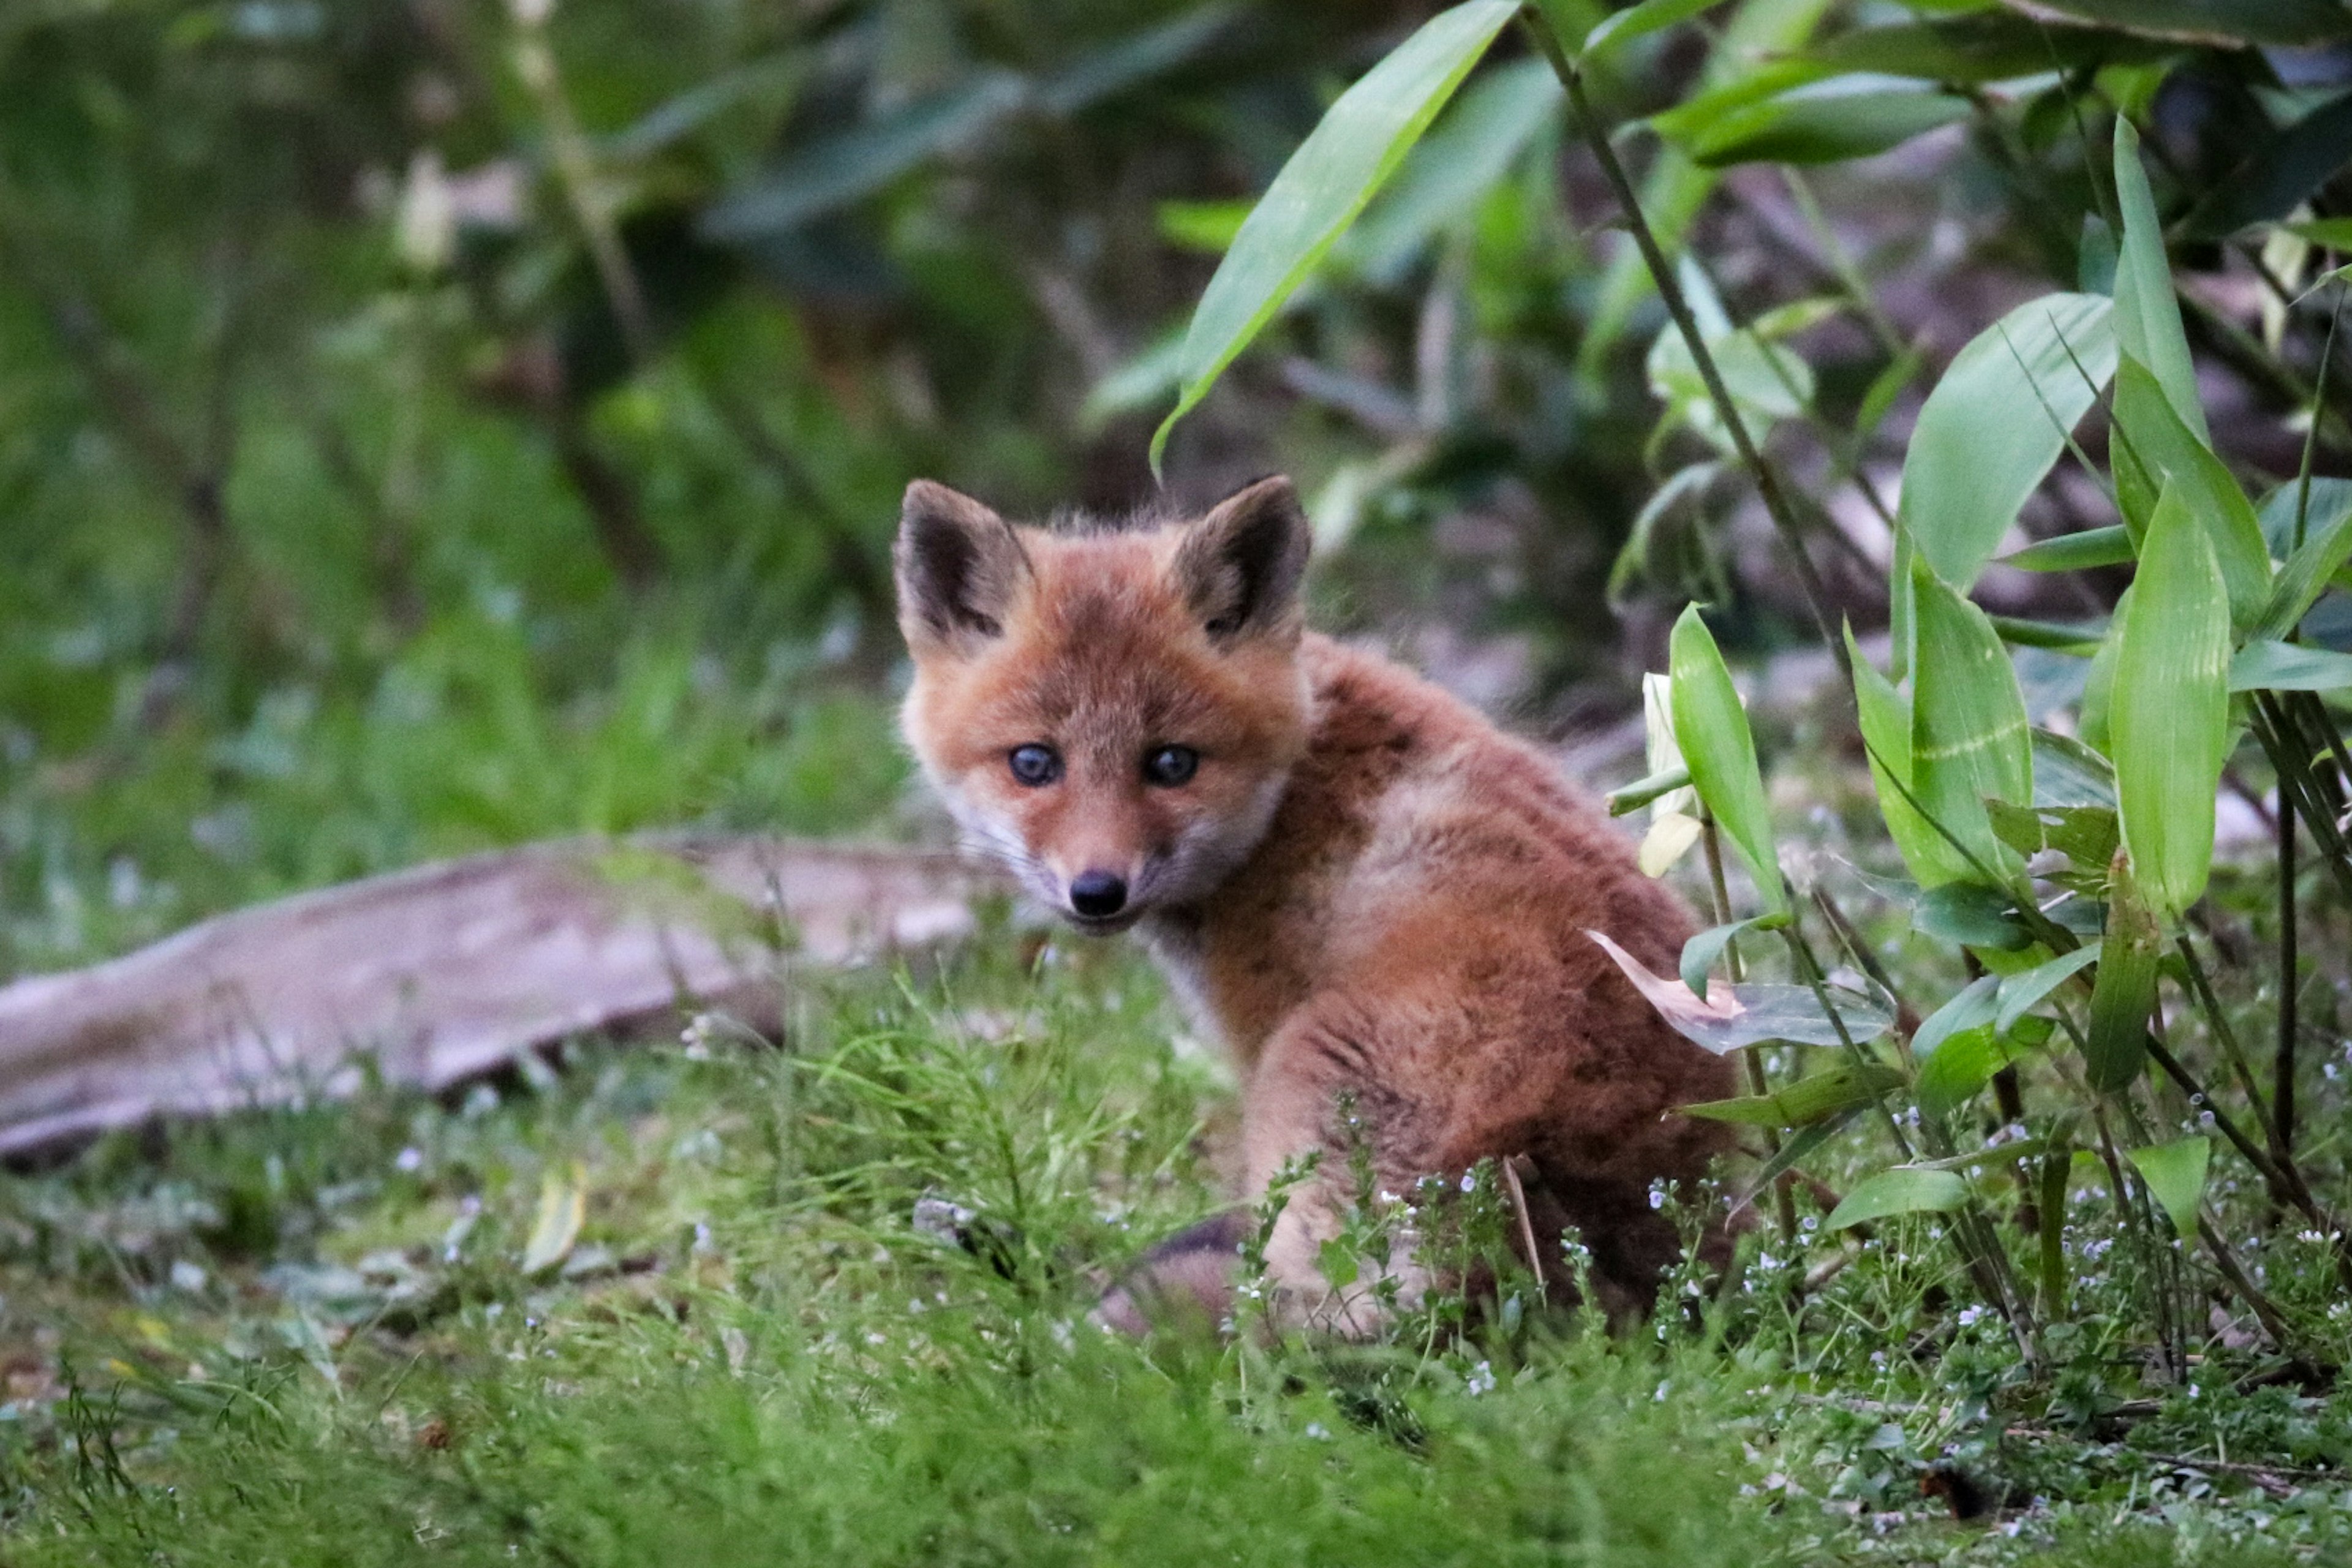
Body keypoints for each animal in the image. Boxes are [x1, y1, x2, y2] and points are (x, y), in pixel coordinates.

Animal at [889, 472, 1740, 1335]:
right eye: (1034, 763)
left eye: (1171, 763)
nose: (1097, 892)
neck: (1294, 787)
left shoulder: (1259, 1029)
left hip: (1306, 1080)